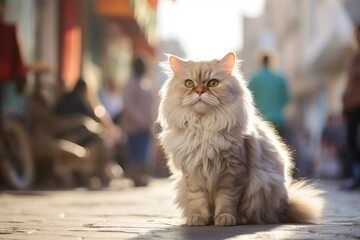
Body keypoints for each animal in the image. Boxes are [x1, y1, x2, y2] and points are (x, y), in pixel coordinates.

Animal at [158, 51, 324, 226]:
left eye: (213, 83)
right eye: (189, 83)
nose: (200, 92)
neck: (203, 126)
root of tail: (285, 206)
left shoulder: (233, 173)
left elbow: (226, 201)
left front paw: (224, 218)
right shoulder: (192, 175)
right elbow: (197, 201)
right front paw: (198, 219)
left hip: (262, 186)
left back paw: (240, 219)